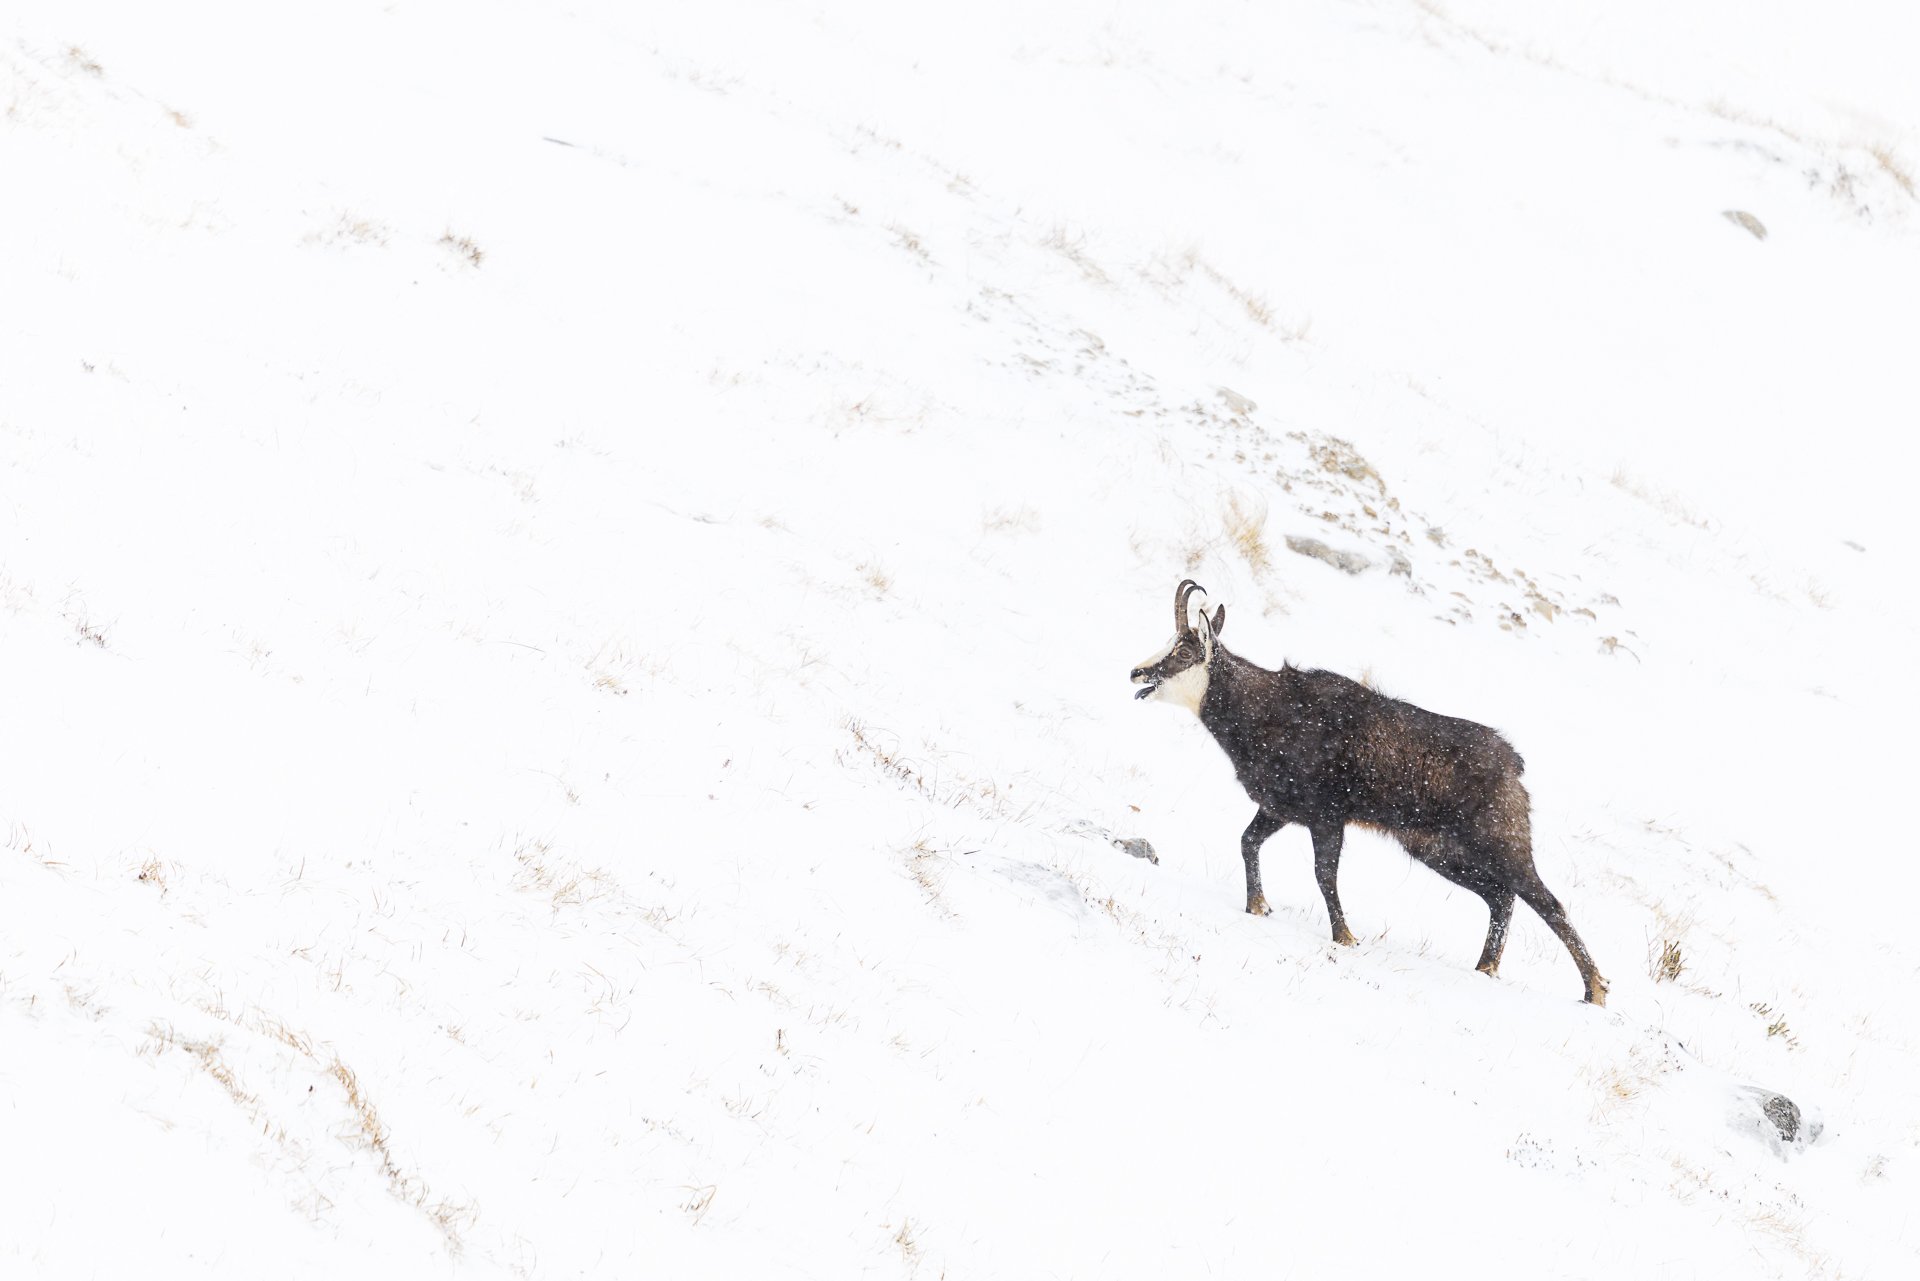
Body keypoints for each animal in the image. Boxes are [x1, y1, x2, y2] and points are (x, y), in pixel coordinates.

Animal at [1130, 579, 1608, 1005]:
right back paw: (1486, 967)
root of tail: (1513, 765)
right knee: (1501, 896)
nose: (1137, 671)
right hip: (1436, 848)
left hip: (1499, 839)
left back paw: (1594, 990)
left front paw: (1344, 937)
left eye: (1184, 651)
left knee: (1546, 901)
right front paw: (1258, 906)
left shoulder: (1326, 816)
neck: (1269, 712)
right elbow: (1248, 841)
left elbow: (1324, 875)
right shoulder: (1281, 807)